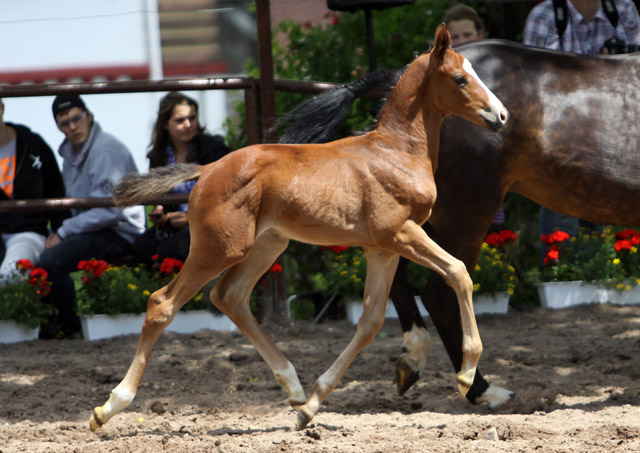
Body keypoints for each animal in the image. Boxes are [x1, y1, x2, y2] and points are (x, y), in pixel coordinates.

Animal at [87, 25, 508, 430]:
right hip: (220, 248)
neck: (396, 152)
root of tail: (205, 170)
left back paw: (294, 388)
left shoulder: (382, 248)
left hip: (267, 245)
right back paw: (108, 407)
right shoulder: (401, 234)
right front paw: (467, 376)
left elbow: (371, 322)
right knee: (163, 303)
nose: (502, 116)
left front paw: (311, 407)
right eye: (459, 78)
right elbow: (459, 273)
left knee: (230, 296)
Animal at [282, 38, 640, 406]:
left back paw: (413, 361)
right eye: (460, 79)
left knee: (399, 277)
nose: (500, 115)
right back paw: (479, 387)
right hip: (465, 215)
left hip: (415, 221)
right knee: (440, 293)